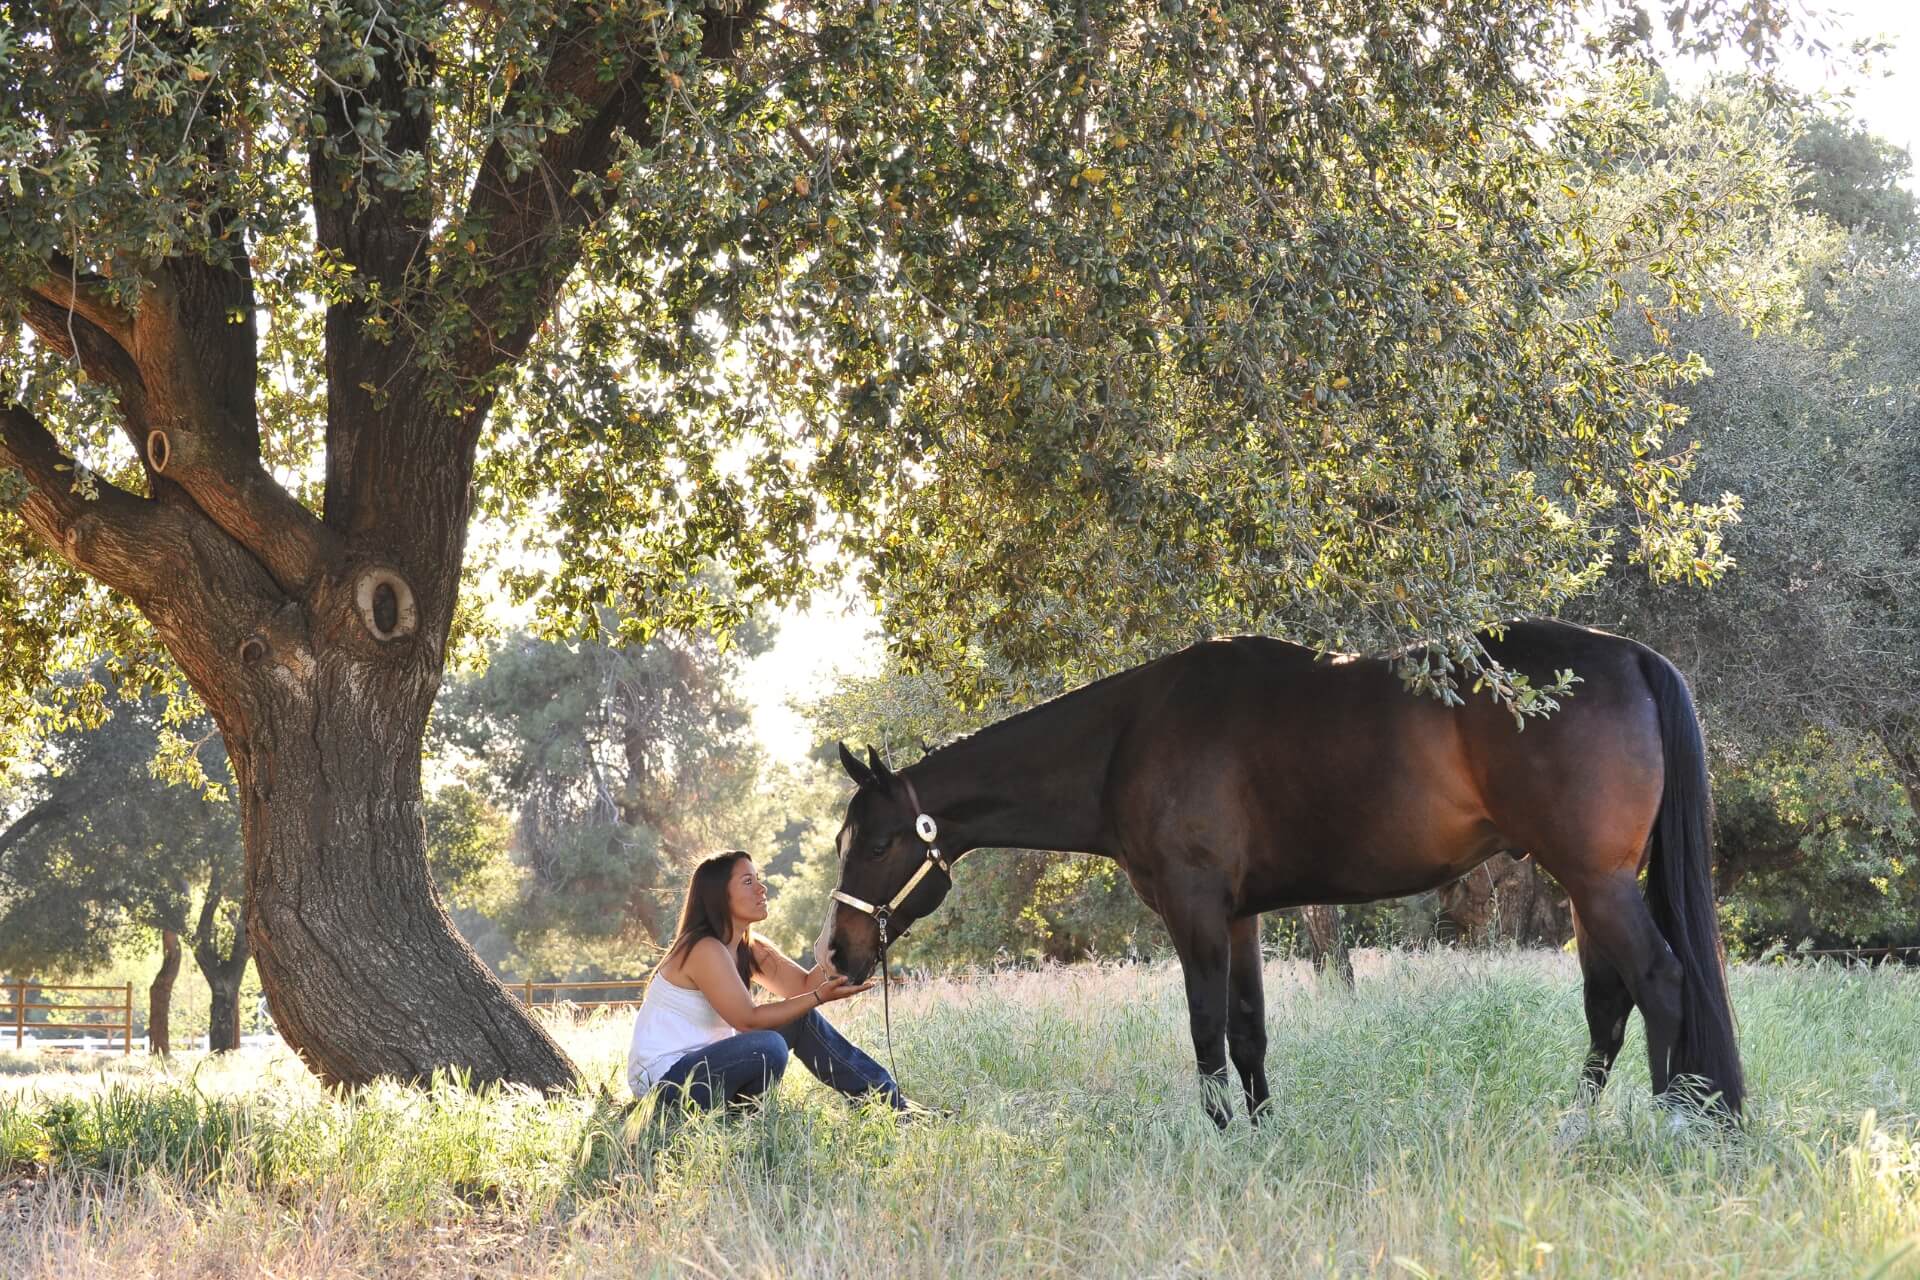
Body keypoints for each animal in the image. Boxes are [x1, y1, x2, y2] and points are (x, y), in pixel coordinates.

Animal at [817, 625, 1751, 1128]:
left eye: (875, 843)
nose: (838, 953)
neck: (1127, 740)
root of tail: (1630, 656)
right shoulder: (1241, 916)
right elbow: (1248, 1033)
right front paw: (1263, 1137)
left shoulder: (1194, 910)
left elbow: (1205, 1033)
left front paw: (1221, 1137)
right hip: (1591, 888)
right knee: (1610, 1006)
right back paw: (1575, 1128)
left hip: (1596, 882)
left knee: (1660, 983)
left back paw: (1667, 1125)